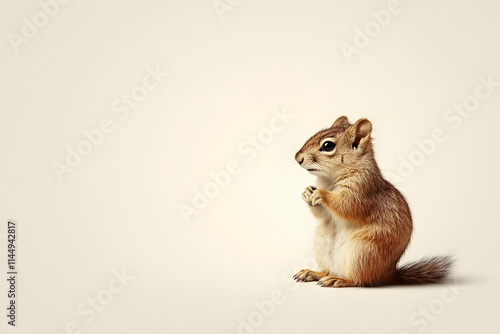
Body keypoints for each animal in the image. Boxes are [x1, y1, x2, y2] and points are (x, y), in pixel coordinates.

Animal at [292, 115, 454, 288]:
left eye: (328, 146)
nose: (297, 158)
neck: (330, 180)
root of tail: (387, 275)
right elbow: (322, 214)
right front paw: (306, 192)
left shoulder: (363, 191)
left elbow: (347, 206)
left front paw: (321, 195)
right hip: (323, 246)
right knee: (328, 270)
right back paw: (313, 273)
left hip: (362, 253)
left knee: (359, 280)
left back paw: (339, 279)